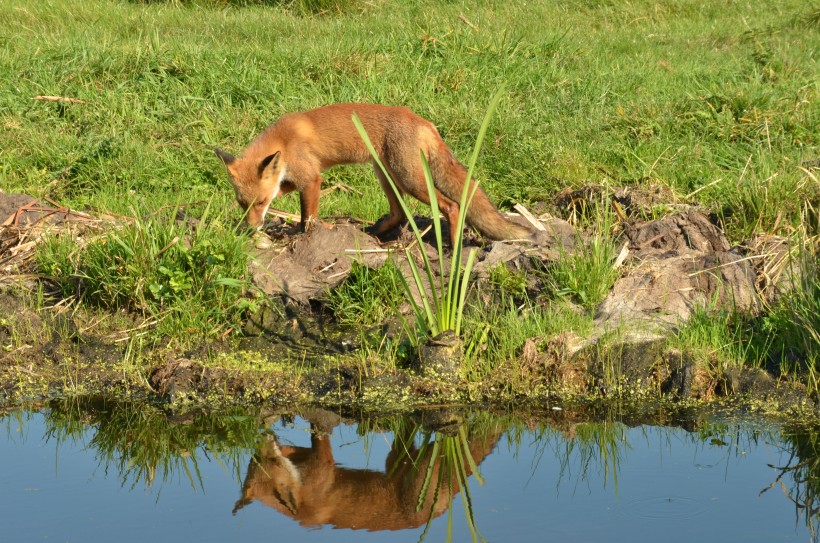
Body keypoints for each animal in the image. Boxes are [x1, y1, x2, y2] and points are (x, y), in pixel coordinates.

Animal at [213, 102, 532, 246]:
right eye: (243, 205)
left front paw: (308, 234)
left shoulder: (312, 177)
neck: (284, 139)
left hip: (410, 179)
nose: (251, 229)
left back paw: (452, 247)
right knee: (400, 213)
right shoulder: (295, 178)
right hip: (386, 175)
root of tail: (425, 122)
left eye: (260, 202)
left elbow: (308, 216)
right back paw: (372, 234)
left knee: (452, 205)